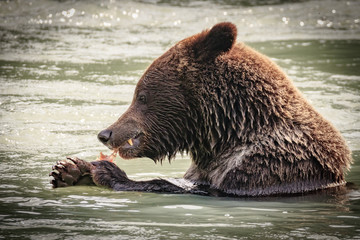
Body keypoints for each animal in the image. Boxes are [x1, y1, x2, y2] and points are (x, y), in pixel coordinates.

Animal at [50, 21, 352, 196]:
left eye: (141, 96)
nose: (106, 133)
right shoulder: (204, 169)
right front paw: (68, 170)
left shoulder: (268, 168)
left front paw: (107, 171)